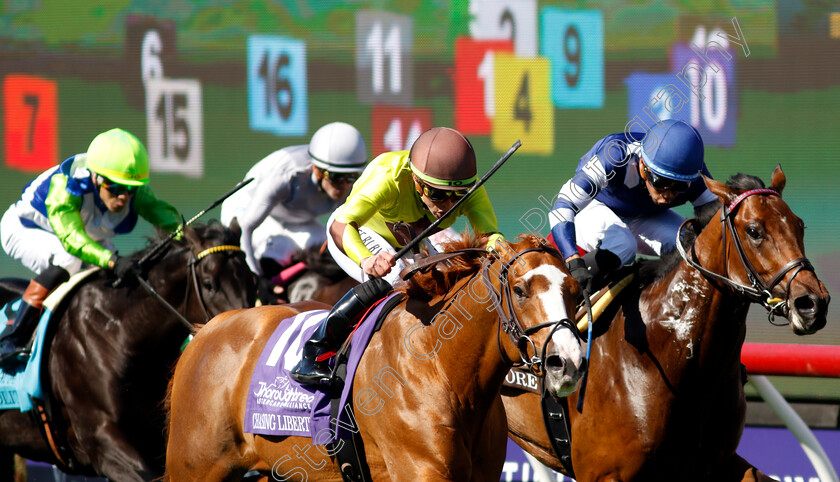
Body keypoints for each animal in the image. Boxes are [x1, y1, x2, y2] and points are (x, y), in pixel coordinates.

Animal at [164, 235, 584, 480]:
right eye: (520, 290)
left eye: (576, 291)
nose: (568, 362)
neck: (439, 368)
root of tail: (206, 330)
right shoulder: (420, 471)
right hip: (195, 468)